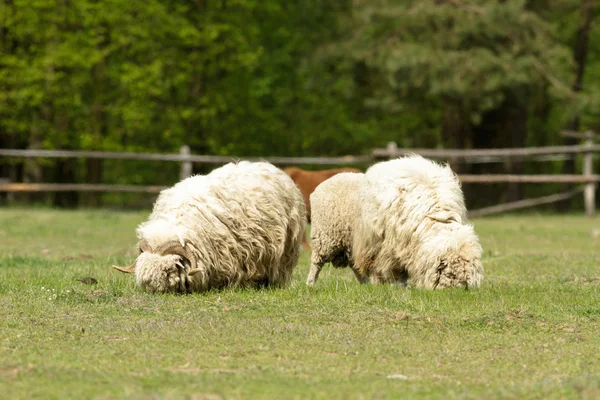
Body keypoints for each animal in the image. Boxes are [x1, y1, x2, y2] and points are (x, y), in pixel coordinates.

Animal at [308, 155, 486, 290]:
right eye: (449, 273)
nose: (456, 292)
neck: (435, 216)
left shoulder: (404, 246)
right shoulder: (381, 244)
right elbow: (382, 268)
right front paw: (390, 286)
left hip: (350, 242)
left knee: (356, 266)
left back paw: (365, 284)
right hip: (326, 238)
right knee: (317, 262)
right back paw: (310, 284)